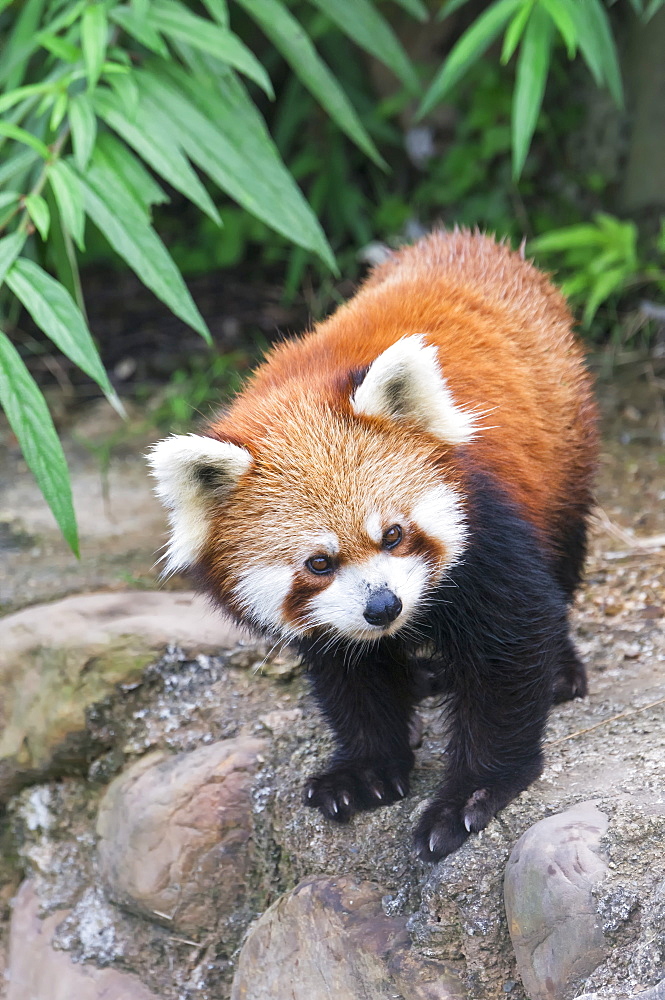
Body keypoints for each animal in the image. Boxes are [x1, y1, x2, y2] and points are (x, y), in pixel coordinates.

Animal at [149, 229, 596, 860]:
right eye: (319, 563)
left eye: (393, 534)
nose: (384, 607)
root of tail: (466, 240)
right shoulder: (328, 618)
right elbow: (350, 676)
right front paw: (364, 770)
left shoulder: (485, 522)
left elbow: (510, 643)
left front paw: (472, 793)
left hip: (564, 447)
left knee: (562, 552)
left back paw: (560, 669)